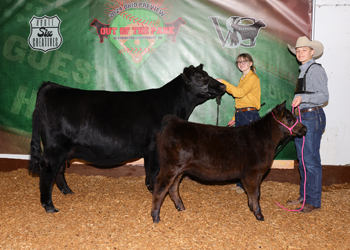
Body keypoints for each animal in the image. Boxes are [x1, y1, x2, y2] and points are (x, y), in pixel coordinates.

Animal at [30, 64, 227, 213]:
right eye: (200, 76)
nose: (223, 87)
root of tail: (52, 86)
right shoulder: (155, 147)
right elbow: (154, 170)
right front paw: (155, 190)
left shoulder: (148, 149)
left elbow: (148, 170)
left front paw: (150, 187)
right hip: (55, 147)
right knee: (48, 171)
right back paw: (49, 206)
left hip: (64, 149)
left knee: (59, 171)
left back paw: (68, 192)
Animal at [150, 101, 306, 223]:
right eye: (289, 119)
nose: (304, 128)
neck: (266, 139)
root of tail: (174, 121)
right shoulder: (254, 172)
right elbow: (256, 193)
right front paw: (259, 214)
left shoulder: (246, 174)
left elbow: (250, 192)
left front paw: (251, 208)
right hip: (170, 166)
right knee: (160, 186)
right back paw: (155, 216)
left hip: (180, 169)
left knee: (173, 187)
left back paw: (181, 208)